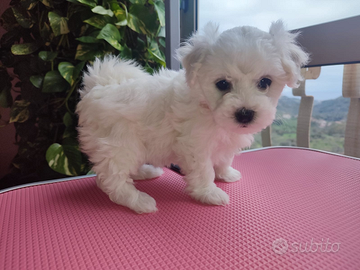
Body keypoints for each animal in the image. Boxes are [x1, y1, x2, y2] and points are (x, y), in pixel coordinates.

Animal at [77, 20, 308, 213]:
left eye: (265, 82)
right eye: (222, 84)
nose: (244, 114)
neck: (206, 105)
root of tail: (99, 83)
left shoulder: (224, 141)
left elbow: (225, 158)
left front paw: (226, 174)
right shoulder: (195, 144)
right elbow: (204, 171)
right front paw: (209, 193)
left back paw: (145, 173)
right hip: (120, 143)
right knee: (111, 177)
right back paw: (138, 201)